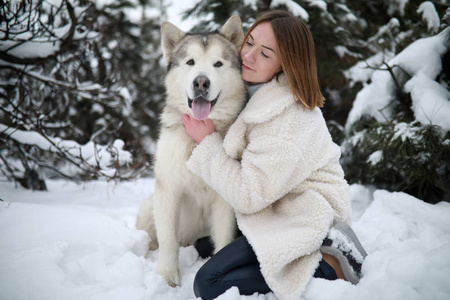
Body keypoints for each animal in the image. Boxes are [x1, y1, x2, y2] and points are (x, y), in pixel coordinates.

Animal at [137, 15, 248, 288]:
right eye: (190, 62)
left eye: (218, 63)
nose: (201, 82)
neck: (197, 141)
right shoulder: (168, 189)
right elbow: (168, 240)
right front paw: (167, 276)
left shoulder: (224, 201)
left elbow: (223, 240)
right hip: (148, 208)